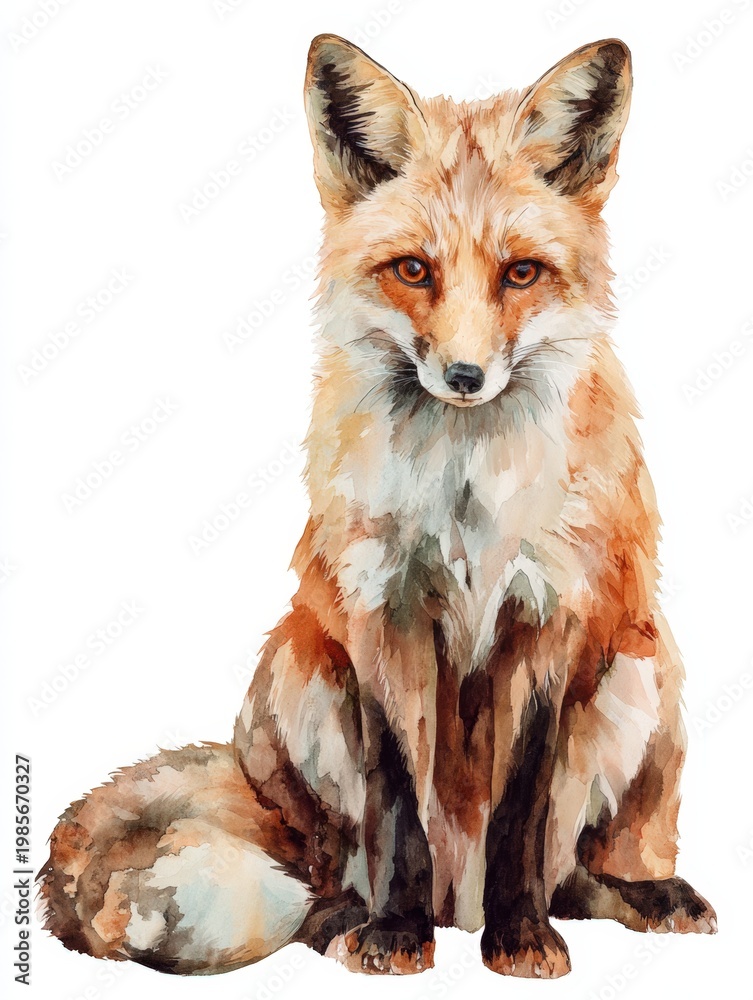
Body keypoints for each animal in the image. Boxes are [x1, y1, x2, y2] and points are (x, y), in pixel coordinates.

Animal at [39, 34, 717, 980]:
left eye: (520, 273)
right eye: (412, 271)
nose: (465, 377)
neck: (466, 497)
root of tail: (456, 905)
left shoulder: (551, 611)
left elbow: (521, 808)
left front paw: (519, 939)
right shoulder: (379, 610)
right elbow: (395, 796)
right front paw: (395, 934)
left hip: (640, 666)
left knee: (576, 873)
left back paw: (628, 896)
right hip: (301, 669)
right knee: (324, 872)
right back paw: (353, 919)